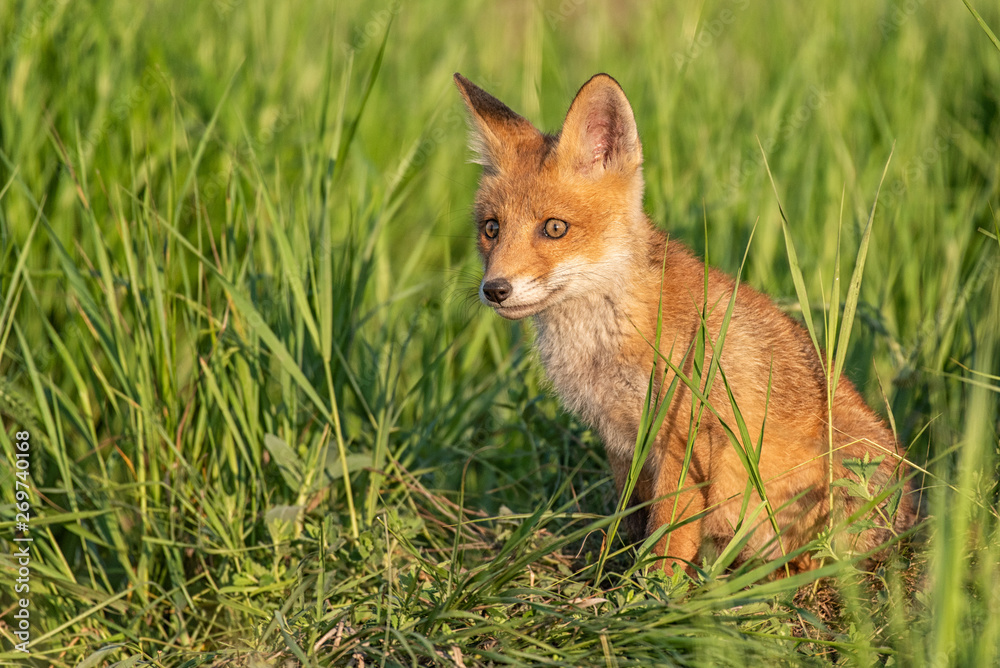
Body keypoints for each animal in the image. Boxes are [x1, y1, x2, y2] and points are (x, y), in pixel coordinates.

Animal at [453, 72, 915, 574]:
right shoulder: (621, 440)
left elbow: (668, 535)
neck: (606, 341)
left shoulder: (685, 437)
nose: (494, 289)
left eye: (555, 228)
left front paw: (652, 588)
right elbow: (632, 521)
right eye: (492, 229)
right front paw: (611, 573)